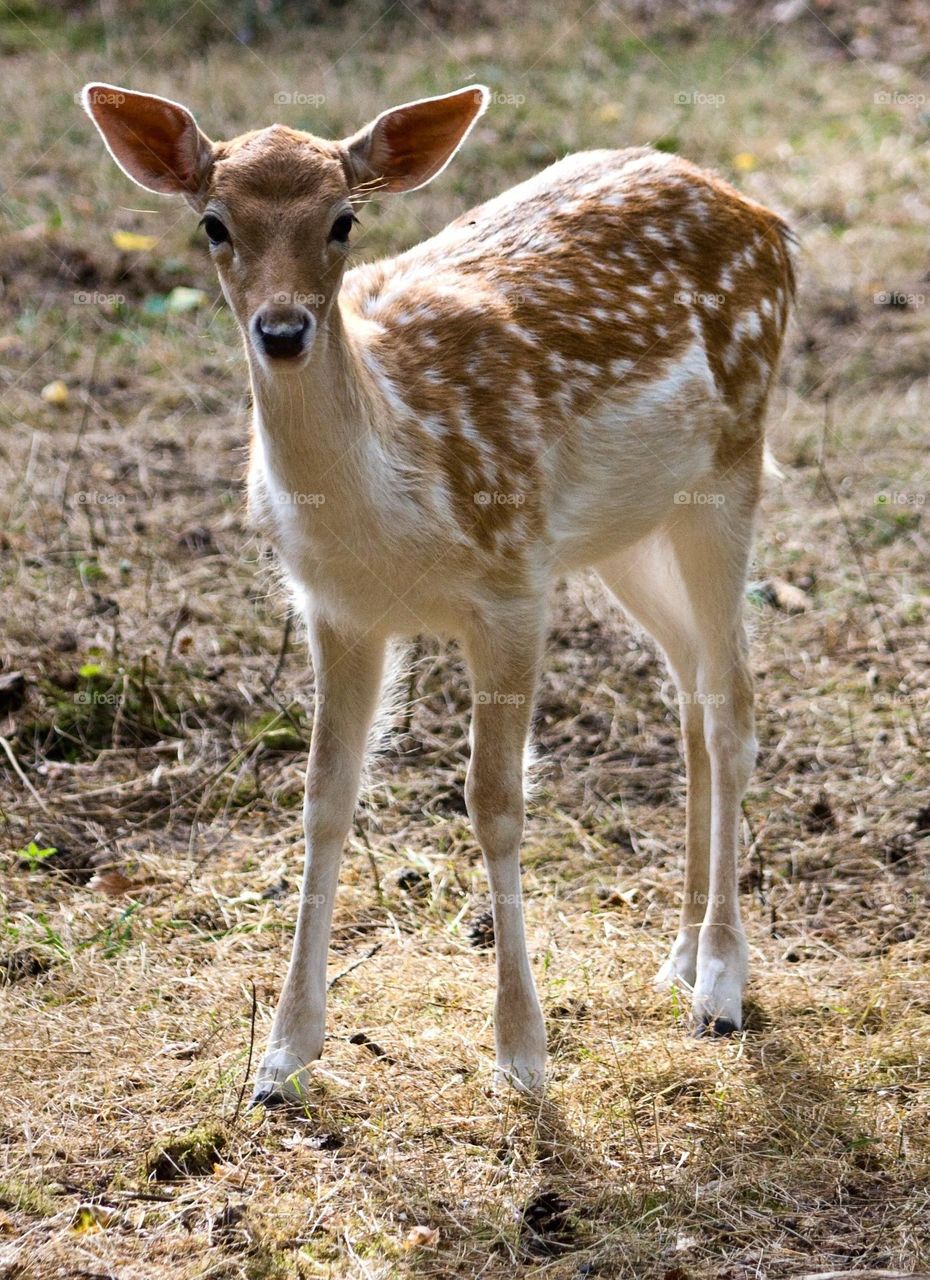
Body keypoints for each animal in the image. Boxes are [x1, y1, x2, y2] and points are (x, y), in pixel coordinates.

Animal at [82, 81, 795, 1106]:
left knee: (733, 700)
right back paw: (680, 956)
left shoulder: (512, 583)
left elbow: (494, 801)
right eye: (213, 223)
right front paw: (282, 1057)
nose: (283, 332)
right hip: (625, 532)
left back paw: (722, 986)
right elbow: (324, 796)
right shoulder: (336, 608)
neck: (390, 498)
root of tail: (765, 218)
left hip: (732, 466)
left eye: (343, 220)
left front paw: (525, 1057)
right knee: (693, 691)